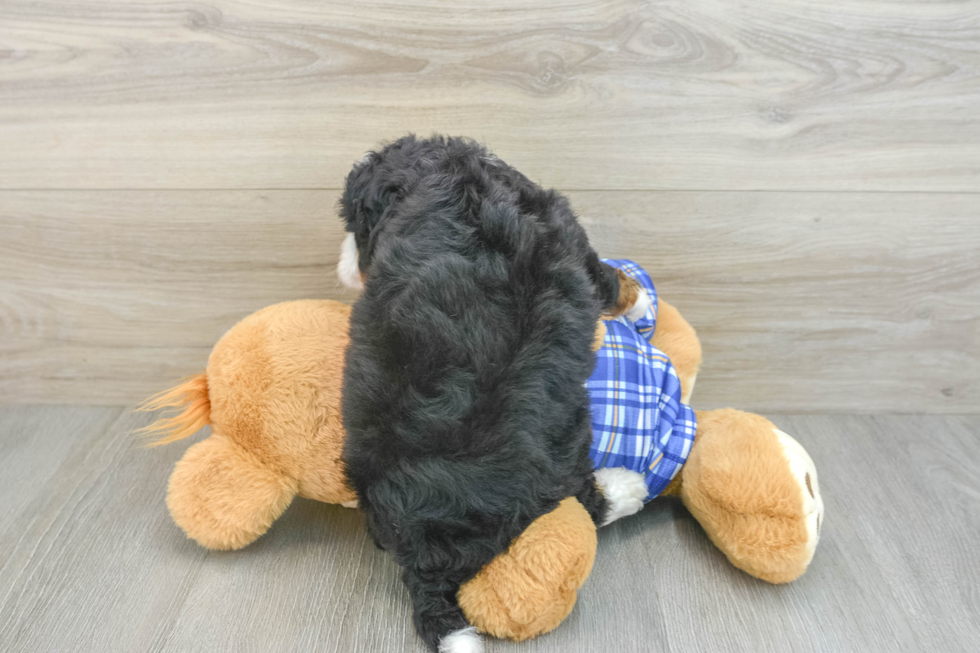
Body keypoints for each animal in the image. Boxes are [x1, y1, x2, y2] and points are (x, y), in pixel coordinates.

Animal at [338, 134, 636, 652]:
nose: (346, 265)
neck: (443, 170)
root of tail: (424, 555)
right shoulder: (573, 238)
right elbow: (610, 281)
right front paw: (636, 300)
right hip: (567, 435)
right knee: (584, 497)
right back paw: (627, 489)